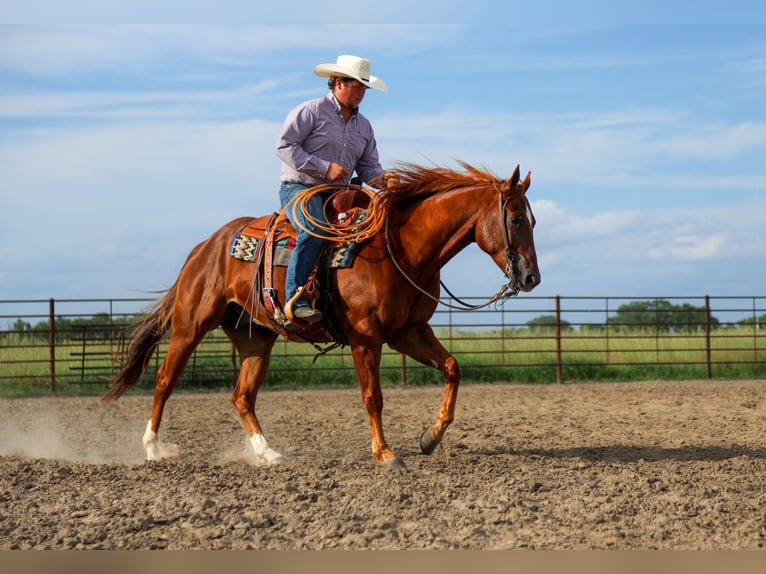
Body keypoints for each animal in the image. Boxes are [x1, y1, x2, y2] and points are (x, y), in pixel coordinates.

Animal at [103, 162, 540, 468]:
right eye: (516, 218)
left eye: (533, 219)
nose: (531, 277)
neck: (400, 249)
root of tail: (205, 247)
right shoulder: (366, 336)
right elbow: (373, 396)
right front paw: (385, 454)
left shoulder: (408, 331)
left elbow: (452, 368)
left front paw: (430, 437)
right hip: (191, 324)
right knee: (164, 379)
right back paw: (153, 448)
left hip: (255, 337)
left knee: (242, 395)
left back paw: (267, 454)